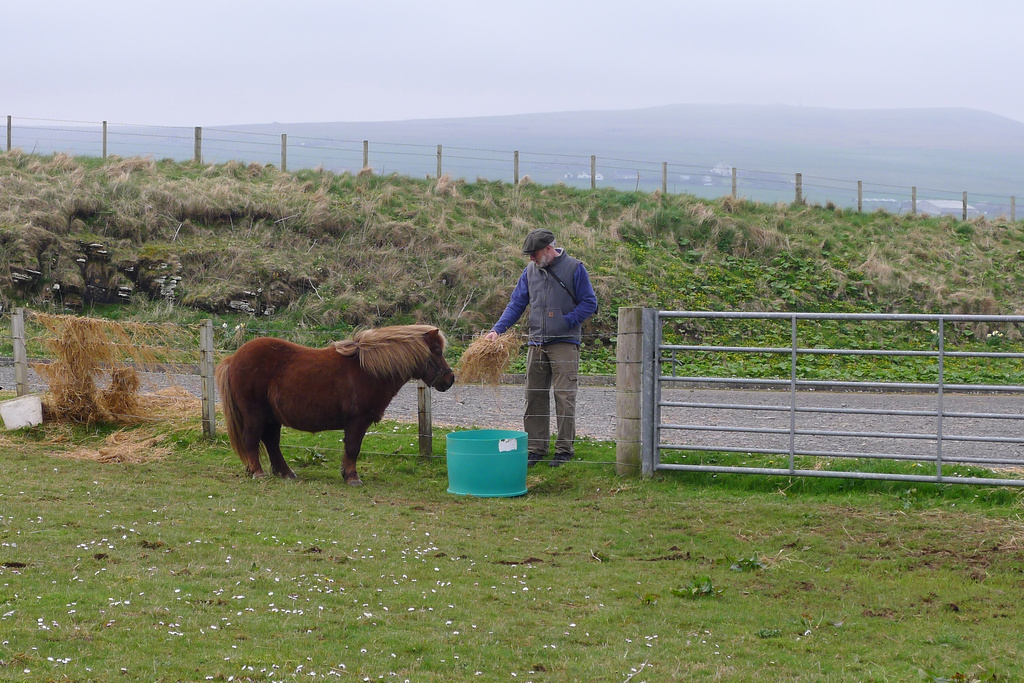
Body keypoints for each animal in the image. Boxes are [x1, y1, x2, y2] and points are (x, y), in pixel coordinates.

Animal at [214, 327, 454, 483]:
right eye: (437, 352)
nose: (450, 379)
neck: (368, 370)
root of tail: (233, 359)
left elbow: (350, 449)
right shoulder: (357, 421)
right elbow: (353, 448)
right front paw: (352, 477)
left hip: (271, 417)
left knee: (272, 442)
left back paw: (285, 473)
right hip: (255, 413)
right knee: (252, 440)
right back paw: (257, 472)